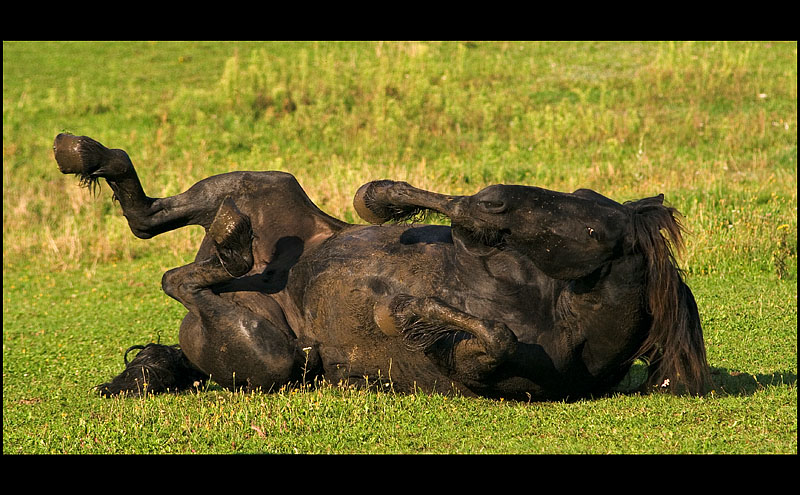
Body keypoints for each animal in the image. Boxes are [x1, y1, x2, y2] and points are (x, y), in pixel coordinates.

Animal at [53, 134, 708, 402]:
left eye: (595, 232)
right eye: (580, 196)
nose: (495, 196)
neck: (558, 309)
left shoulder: (483, 370)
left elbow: (490, 336)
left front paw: (404, 311)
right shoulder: (482, 243)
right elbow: (423, 206)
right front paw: (392, 203)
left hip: (273, 357)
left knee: (180, 277)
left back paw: (230, 243)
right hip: (264, 185)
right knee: (147, 219)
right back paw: (83, 151)